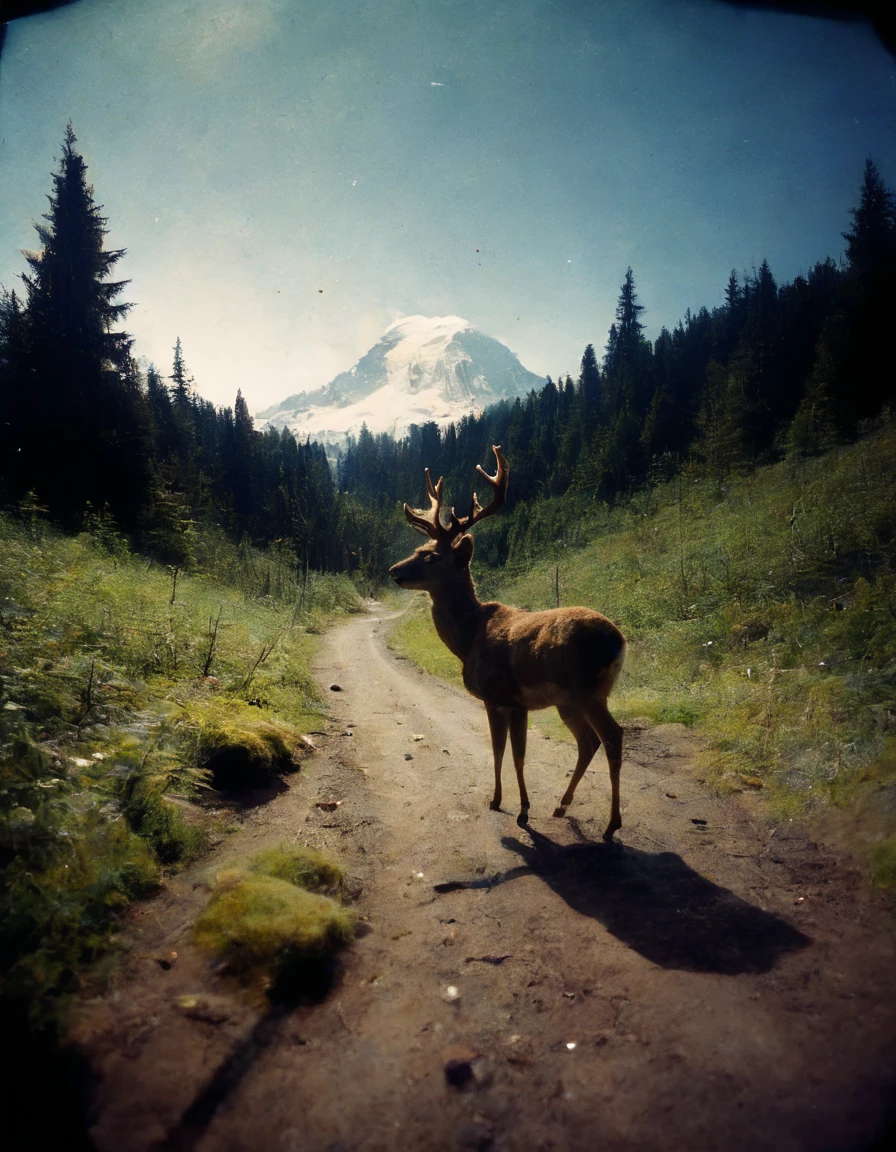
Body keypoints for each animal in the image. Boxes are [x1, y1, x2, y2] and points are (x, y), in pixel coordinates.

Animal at [386, 444, 626, 843]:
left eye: (430, 556)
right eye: (419, 547)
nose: (394, 571)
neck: (468, 638)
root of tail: (619, 640)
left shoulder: (500, 696)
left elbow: (506, 752)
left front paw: (510, 806)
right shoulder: (517, 703)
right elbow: (511, 753)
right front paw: (518, 804)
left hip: (589, 691)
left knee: (612, 737)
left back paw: (610, 826)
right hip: (570, 700)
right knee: (587, 742)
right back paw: (561, 806)